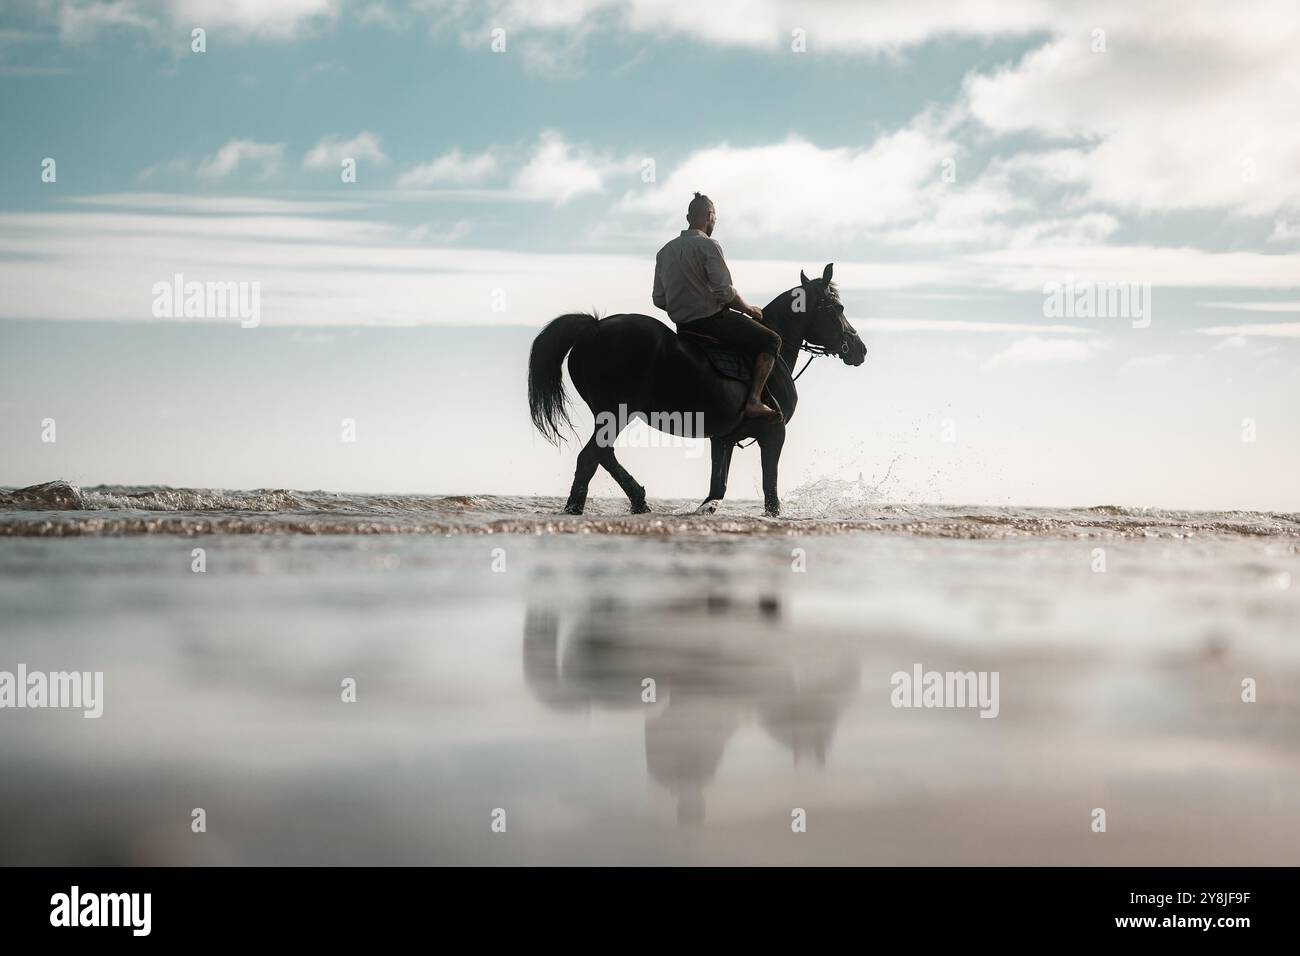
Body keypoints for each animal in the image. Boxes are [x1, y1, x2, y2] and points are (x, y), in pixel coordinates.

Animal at [528, 262, 867, 517]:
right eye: (838, 307)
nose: (859, 349)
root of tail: (596, 326)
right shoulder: (774, 433)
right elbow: (770, 490)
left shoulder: (723, 439)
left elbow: (717, 488)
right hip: (616, 411)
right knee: (590, 458)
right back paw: (582, 508)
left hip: (610, 413)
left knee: (603, 456)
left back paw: (637, 500)